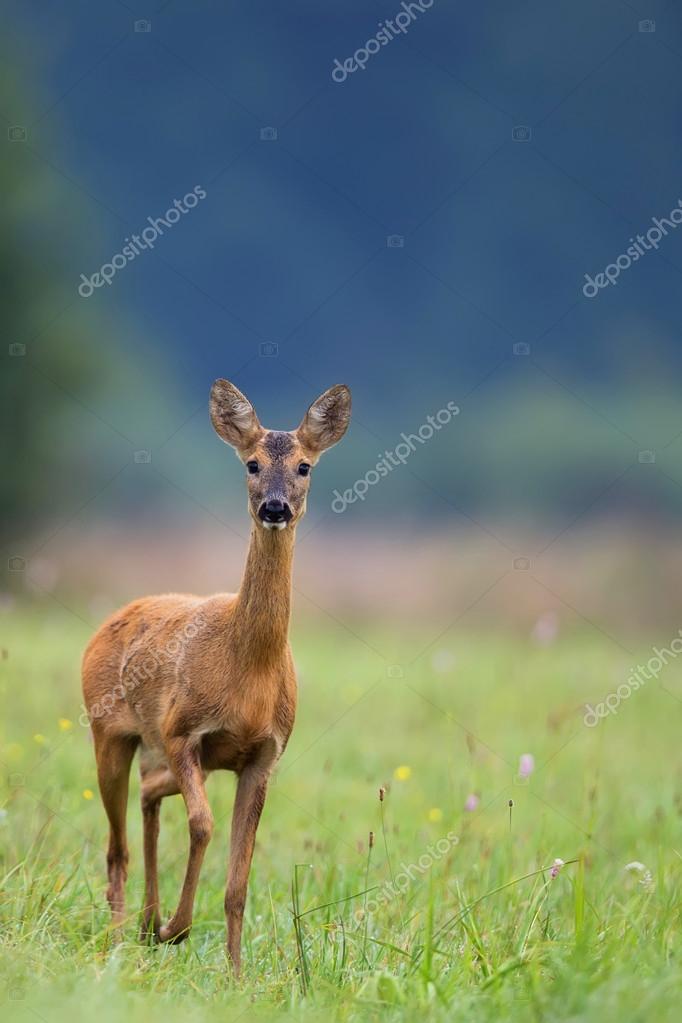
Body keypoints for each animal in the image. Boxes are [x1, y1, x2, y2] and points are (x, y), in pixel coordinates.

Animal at [81, 378, 351, 973]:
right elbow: (203, 825)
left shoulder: (263, 755)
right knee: (116, 846)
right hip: (109, 732)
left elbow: (238, 883)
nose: (274, 507)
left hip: (160, 751)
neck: (247, 674)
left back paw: (144, 923)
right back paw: (122, 937)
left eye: (304, 466)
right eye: (251, 464)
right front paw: (176, 930)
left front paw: (235, 972)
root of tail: (108, 622)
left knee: (148, 794)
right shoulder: (184, 732)